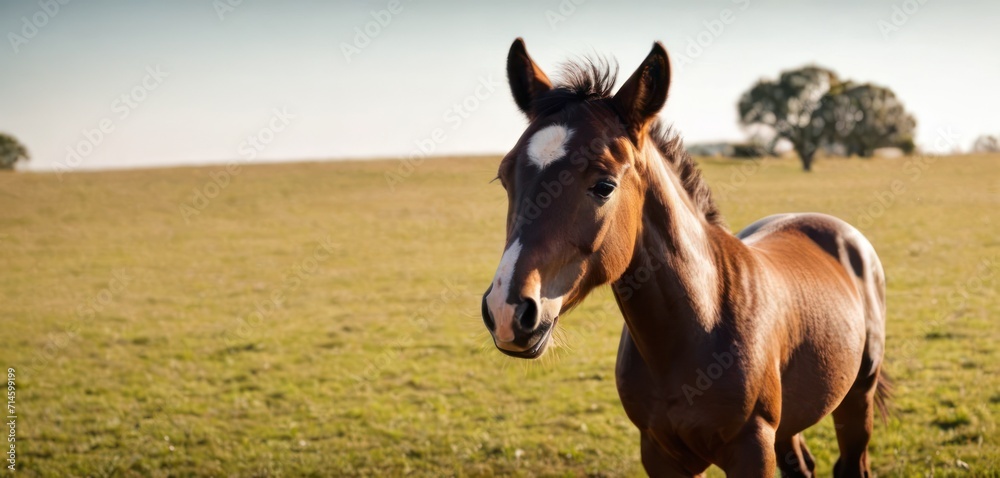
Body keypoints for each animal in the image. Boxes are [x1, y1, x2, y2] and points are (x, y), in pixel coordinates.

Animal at [478, 39, 892, 476]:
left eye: (605, 185)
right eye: (504, 177)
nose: (506, 311)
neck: (699, 327)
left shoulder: (752, 449)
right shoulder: (660, 453)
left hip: (856, 400)